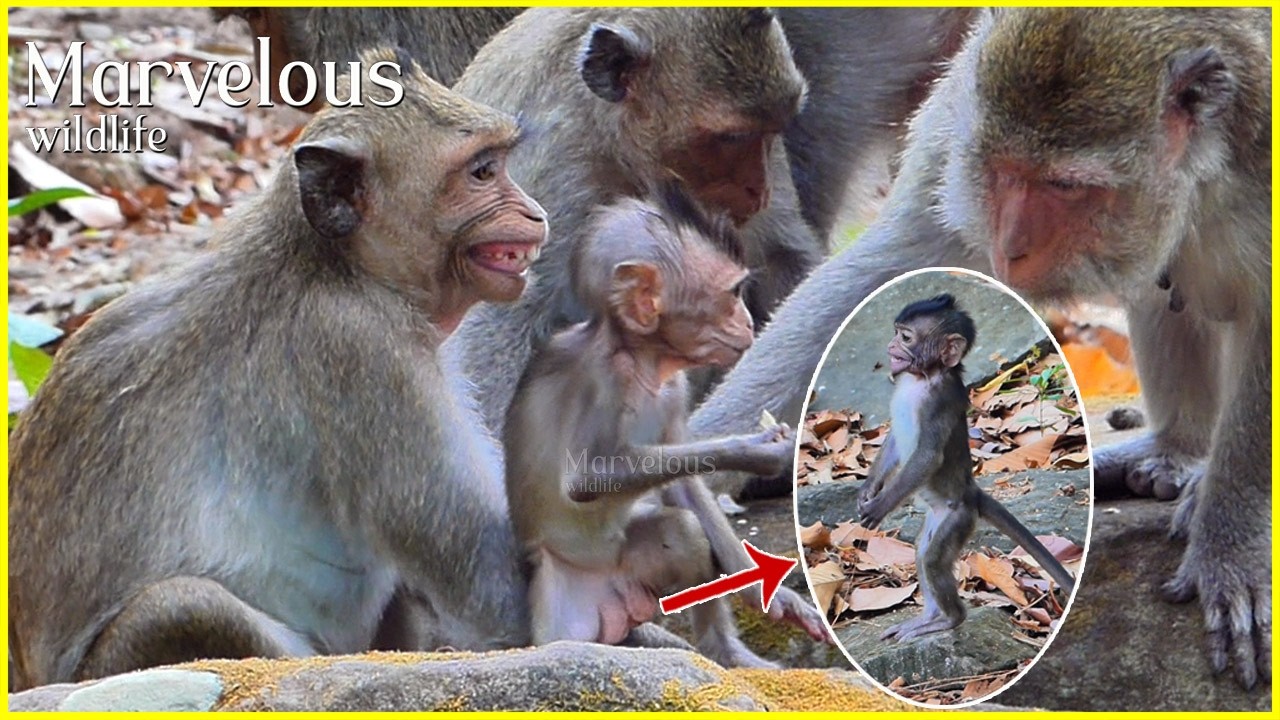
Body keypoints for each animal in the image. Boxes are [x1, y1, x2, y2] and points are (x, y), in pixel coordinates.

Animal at [7, 50, 548, 690]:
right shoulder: (360, 347)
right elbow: (495, 591)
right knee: (185, 607)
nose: (535, 214)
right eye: (482, 172)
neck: (333, 265)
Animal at [504, 183, 812, 668]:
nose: (747, 321)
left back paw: (724, 650)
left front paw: (772, 595)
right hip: (562, 598)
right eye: (732, 294)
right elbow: (585, 479)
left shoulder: (674, 391)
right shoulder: (605, 381)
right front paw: (760, 450)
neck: (644, 362)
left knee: (683, 532)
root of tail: (605, 590)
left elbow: (685, 486)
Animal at [853, 294, 1075, 642]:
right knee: (922, 552)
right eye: (896, 332)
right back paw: (929, 618)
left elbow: (928, 456)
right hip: (939, 519)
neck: (923, 377)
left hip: (958, 519)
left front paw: (880, 505)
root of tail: (971, 492)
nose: (890, 348)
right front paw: (869, 489)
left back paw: (949, 619)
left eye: (906, 338)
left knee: (933, 560)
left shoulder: (938, 401)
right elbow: (894, 442)